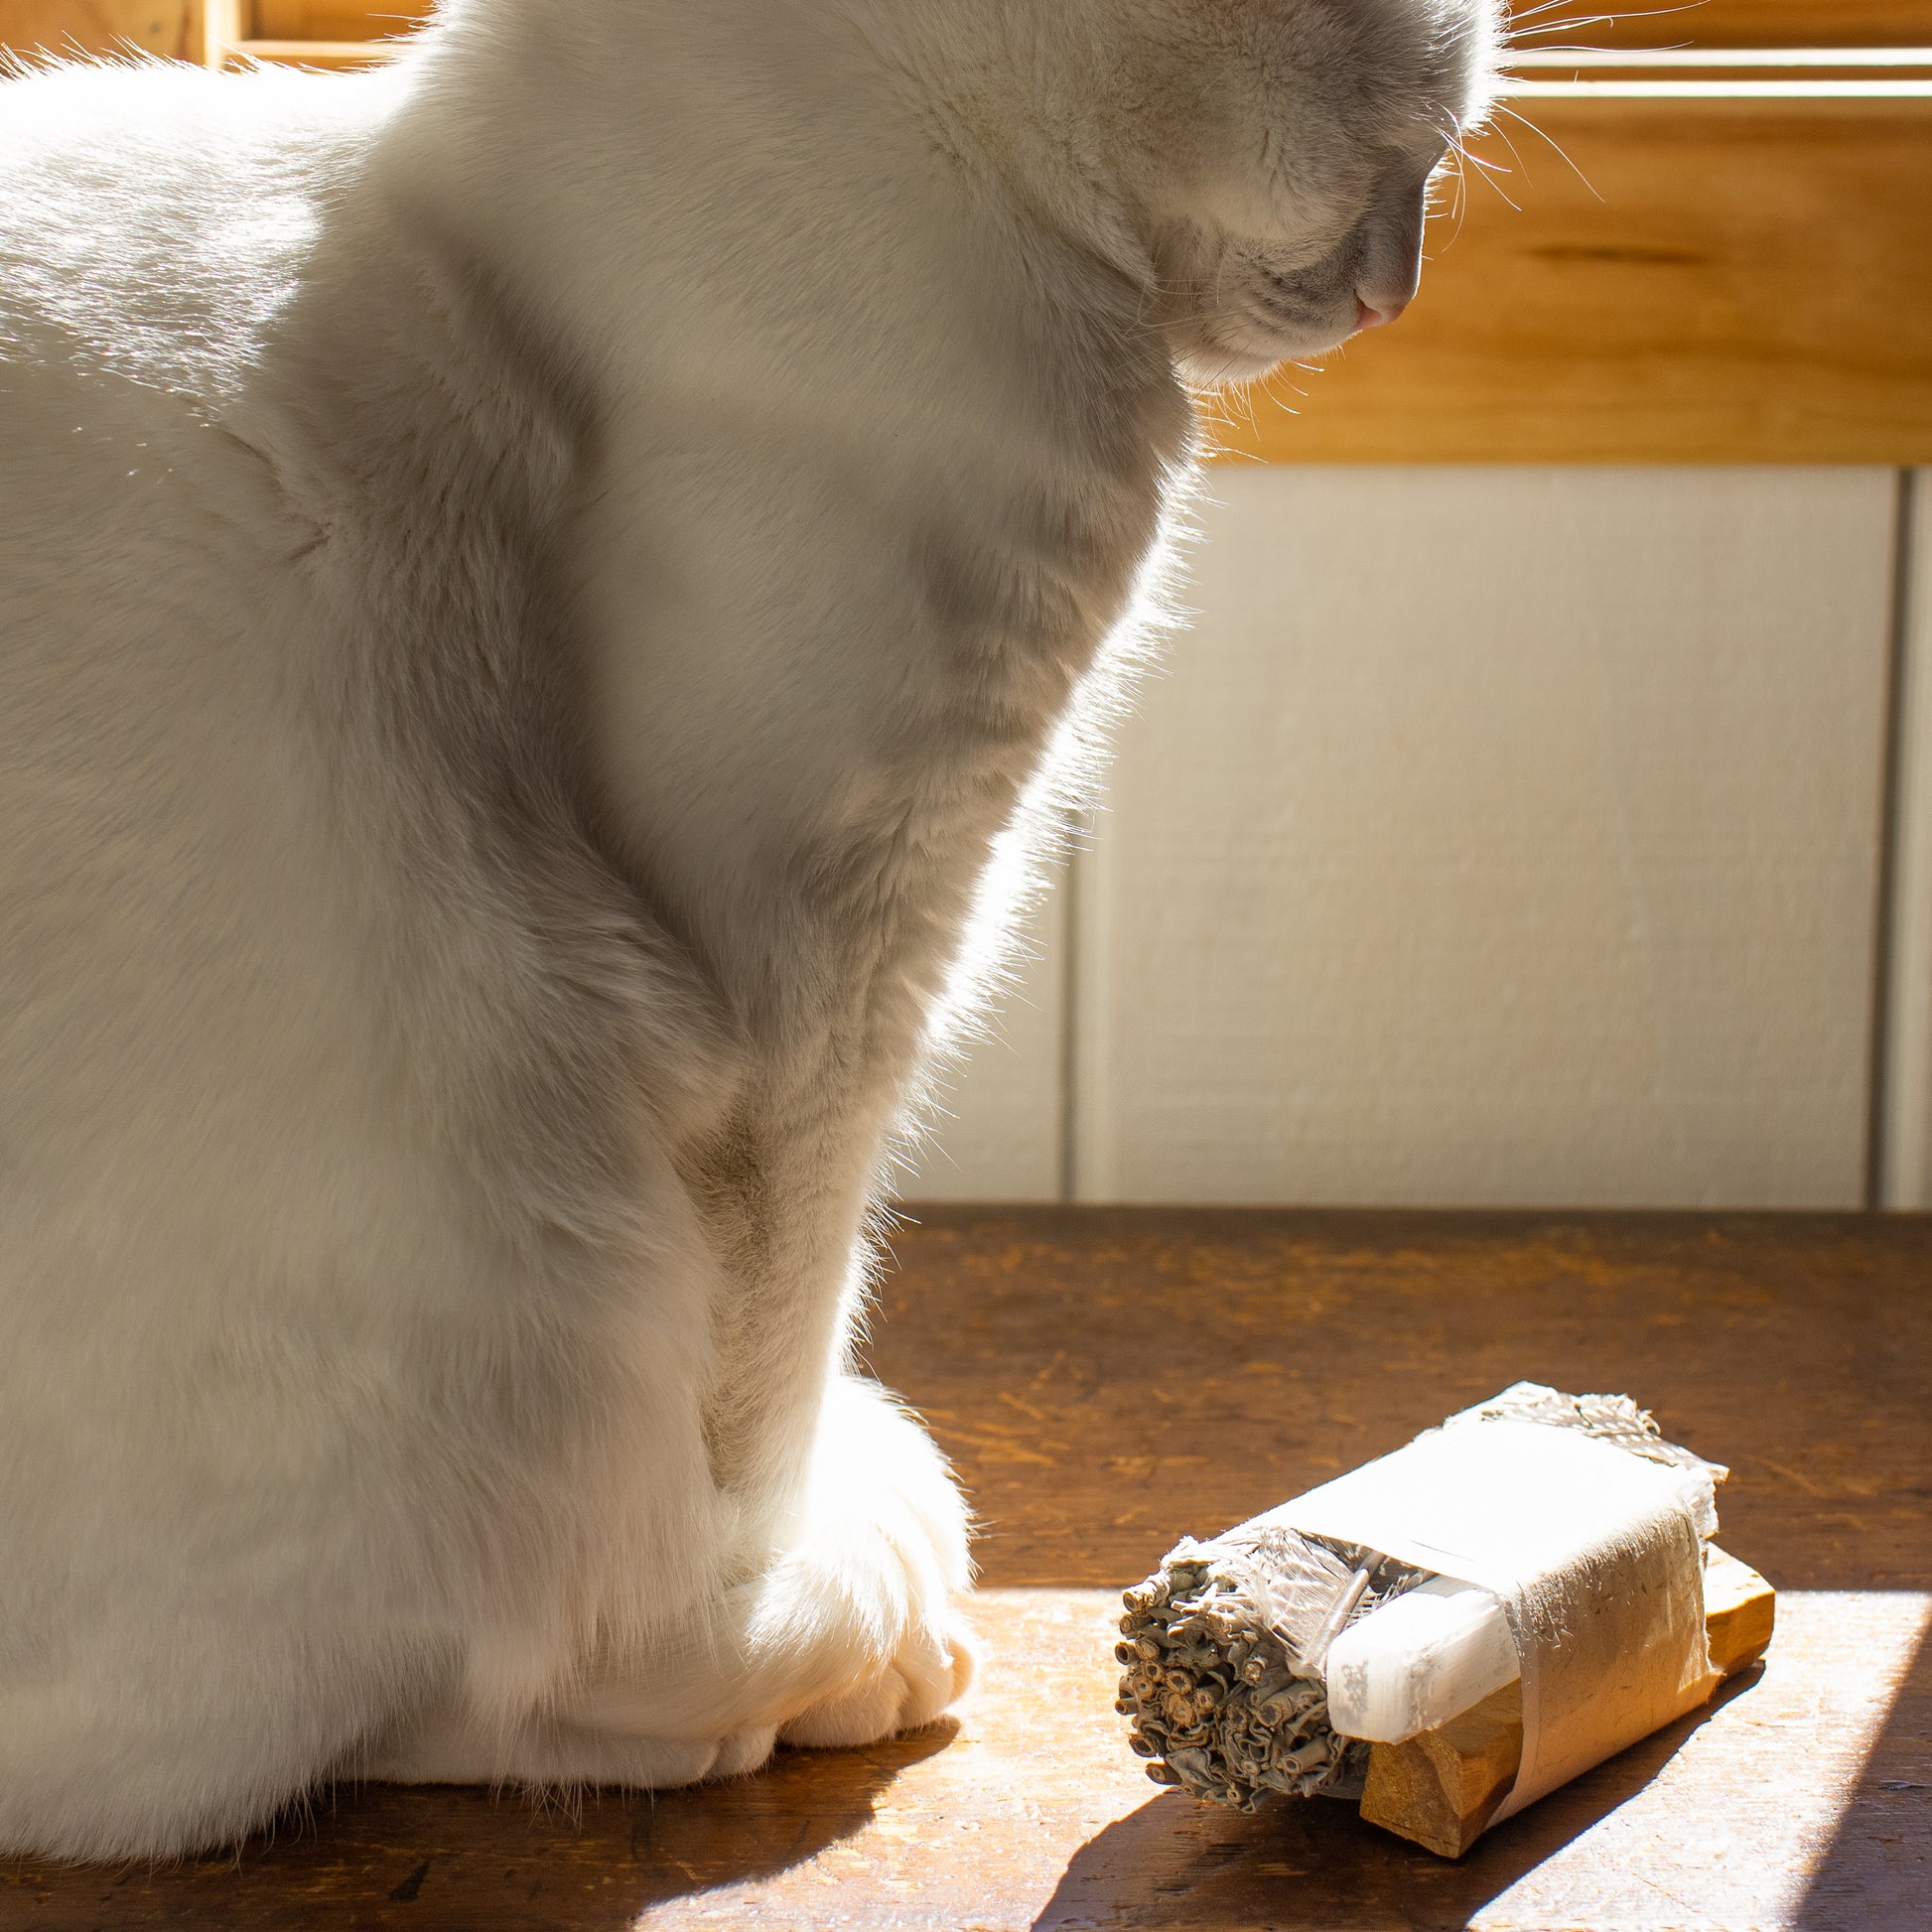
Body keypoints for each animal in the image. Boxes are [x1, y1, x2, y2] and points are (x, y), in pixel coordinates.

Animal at [0, 0, 1491, 1855]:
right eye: (1418, 144)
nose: (1400, 291)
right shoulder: (834, 967)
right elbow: (769, 1360)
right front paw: (783, 1569)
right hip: (531, 1260)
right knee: (435, 1693)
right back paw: (821, 1635)